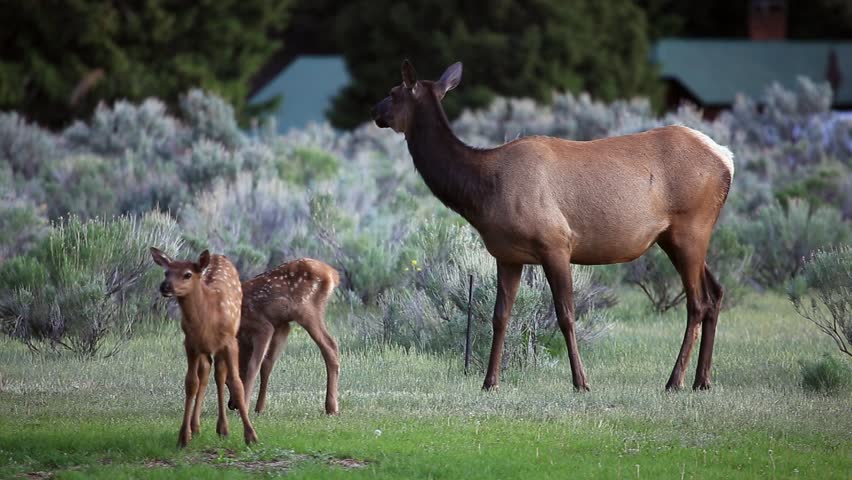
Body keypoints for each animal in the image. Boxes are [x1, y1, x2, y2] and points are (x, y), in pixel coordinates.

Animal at [150, 248, 258, 447]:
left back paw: (223, 428)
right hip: (204, 350)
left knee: (220, 375)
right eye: (166, 272)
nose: (165, 286)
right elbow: (191, 383)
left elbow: (237, 384)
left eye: (187, 274)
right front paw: (183, 436)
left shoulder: (230, 342)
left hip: (222, 345)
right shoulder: (190, 344)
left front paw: (251, 436)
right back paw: (196, 427)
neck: (209, 316)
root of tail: (217, 255)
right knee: (206, 374)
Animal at [226, 258, 341, 416]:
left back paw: (331, 407)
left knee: (330, 346)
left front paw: (245, 407)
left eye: (228, 382)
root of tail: (332, 274)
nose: (231, 405)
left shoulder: (263, 326)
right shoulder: (281, 326)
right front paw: (259, 408)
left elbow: (253, 366)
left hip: (307, 311)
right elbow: (267, 364)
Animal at [370, 60, 734, 392]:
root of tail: (726, 159)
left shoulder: (556, 242)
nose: (374, 110)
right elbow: (500, 316)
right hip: (674, 237)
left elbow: (566, 314)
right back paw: (702, 380)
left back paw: (675, 380)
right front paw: (490, 381)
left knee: (697, 302)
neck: (483, 189)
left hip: (690, 226)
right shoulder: (507, 254)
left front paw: (581, 382)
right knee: (716, 292)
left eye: (393, 92)